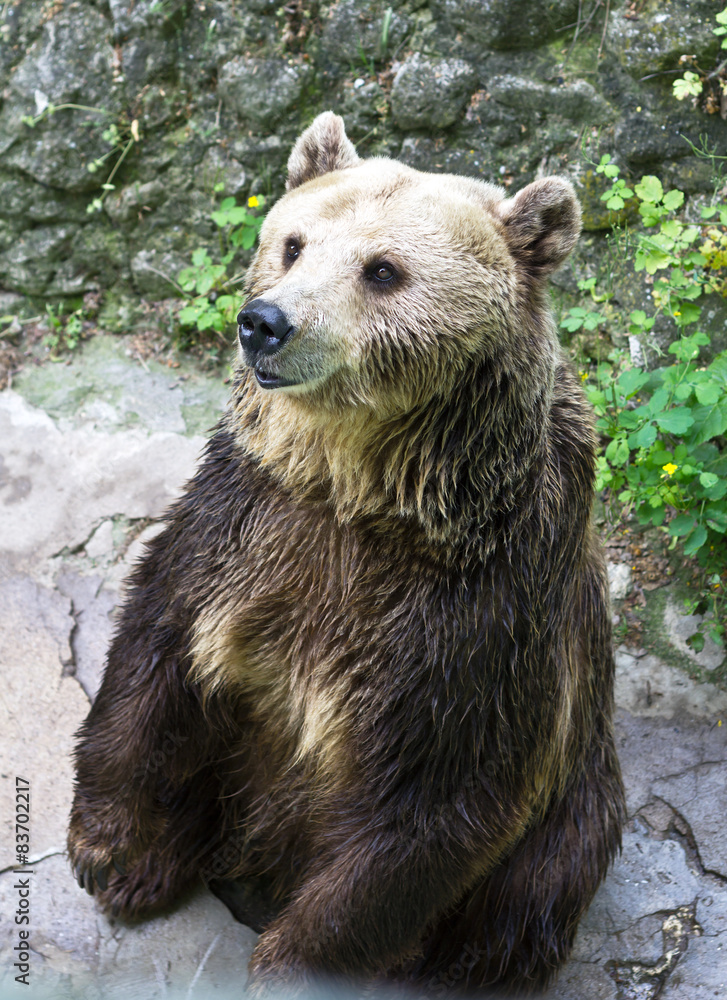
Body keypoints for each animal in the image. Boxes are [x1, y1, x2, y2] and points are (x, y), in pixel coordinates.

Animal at [68, 111, 625, 997]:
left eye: (383, 269)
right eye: (293, 243)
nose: (265, 321)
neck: (361, 489)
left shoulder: (482, 612)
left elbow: (431, 805)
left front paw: (289, 964)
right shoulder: (248, 520)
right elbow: (158, 653)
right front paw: (117, 854)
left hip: (576, 800)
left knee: (535, 888)